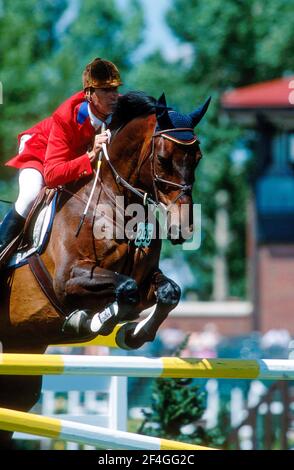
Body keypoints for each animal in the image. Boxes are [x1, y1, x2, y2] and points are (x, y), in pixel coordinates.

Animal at [0, 91, 210, 448]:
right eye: (163, 158)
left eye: (197, 157)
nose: (183, 228)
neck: (115, 201)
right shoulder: (69, 279)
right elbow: (124, 289)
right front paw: (91, 319)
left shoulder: (146, 279)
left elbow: (167, 292)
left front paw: (133, 333)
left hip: (22, 361)